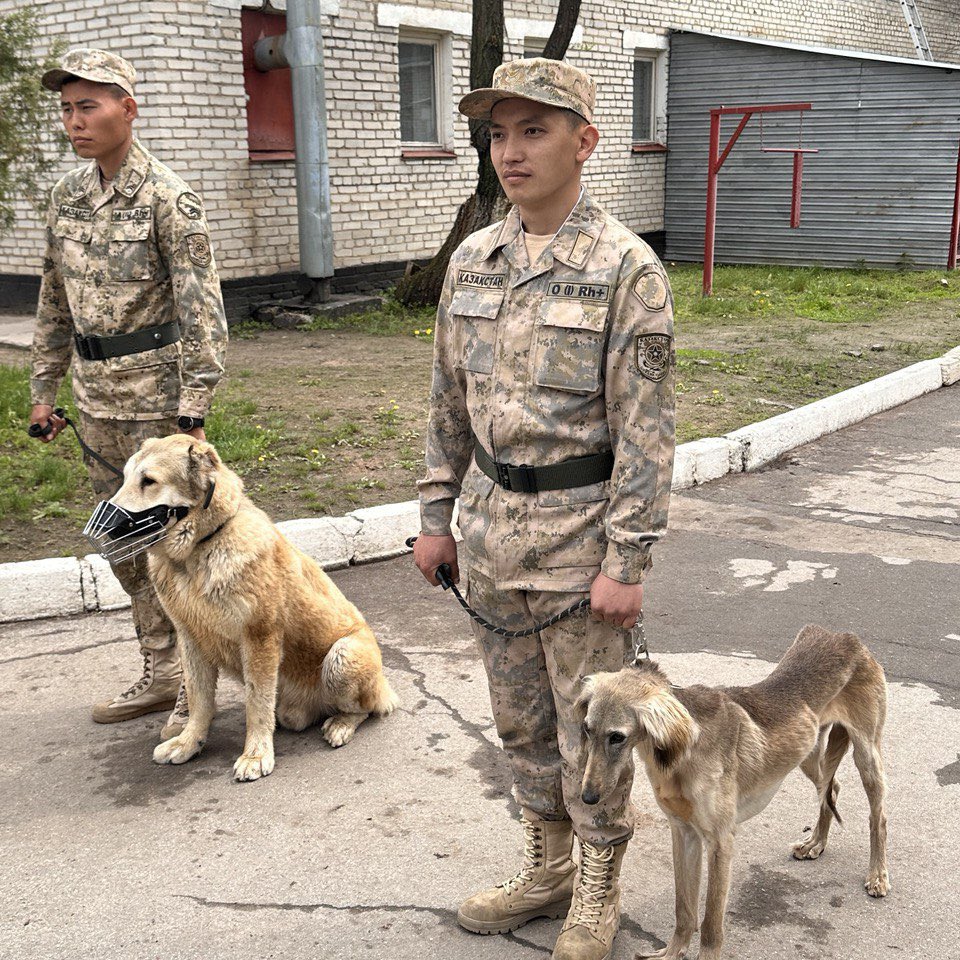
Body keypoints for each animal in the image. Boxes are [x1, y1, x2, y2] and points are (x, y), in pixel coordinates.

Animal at [97, 436, 398, 780]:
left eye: (148, 481)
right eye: (125, 478)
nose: (103, 526)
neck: (199, 551)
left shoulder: (259, 640)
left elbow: (257, 703)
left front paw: (256, 754)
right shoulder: (191, 641)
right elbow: (199, 699)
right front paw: (189, 742)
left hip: (342, 656)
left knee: (366, 708)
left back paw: (342, 724)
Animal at [572, 628, 888, 956]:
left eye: (617, 737)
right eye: (587, 729)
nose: (588, 798)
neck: (682, 749)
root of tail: (843, 636)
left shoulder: (720, 841)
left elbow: (711, 922)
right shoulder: (683, 831)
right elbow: (684, 910)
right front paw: (673, 952)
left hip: (866, 754)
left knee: (877, 816)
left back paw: (877, 876)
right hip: (808, 755)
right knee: (831, 789)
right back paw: (816, 842)